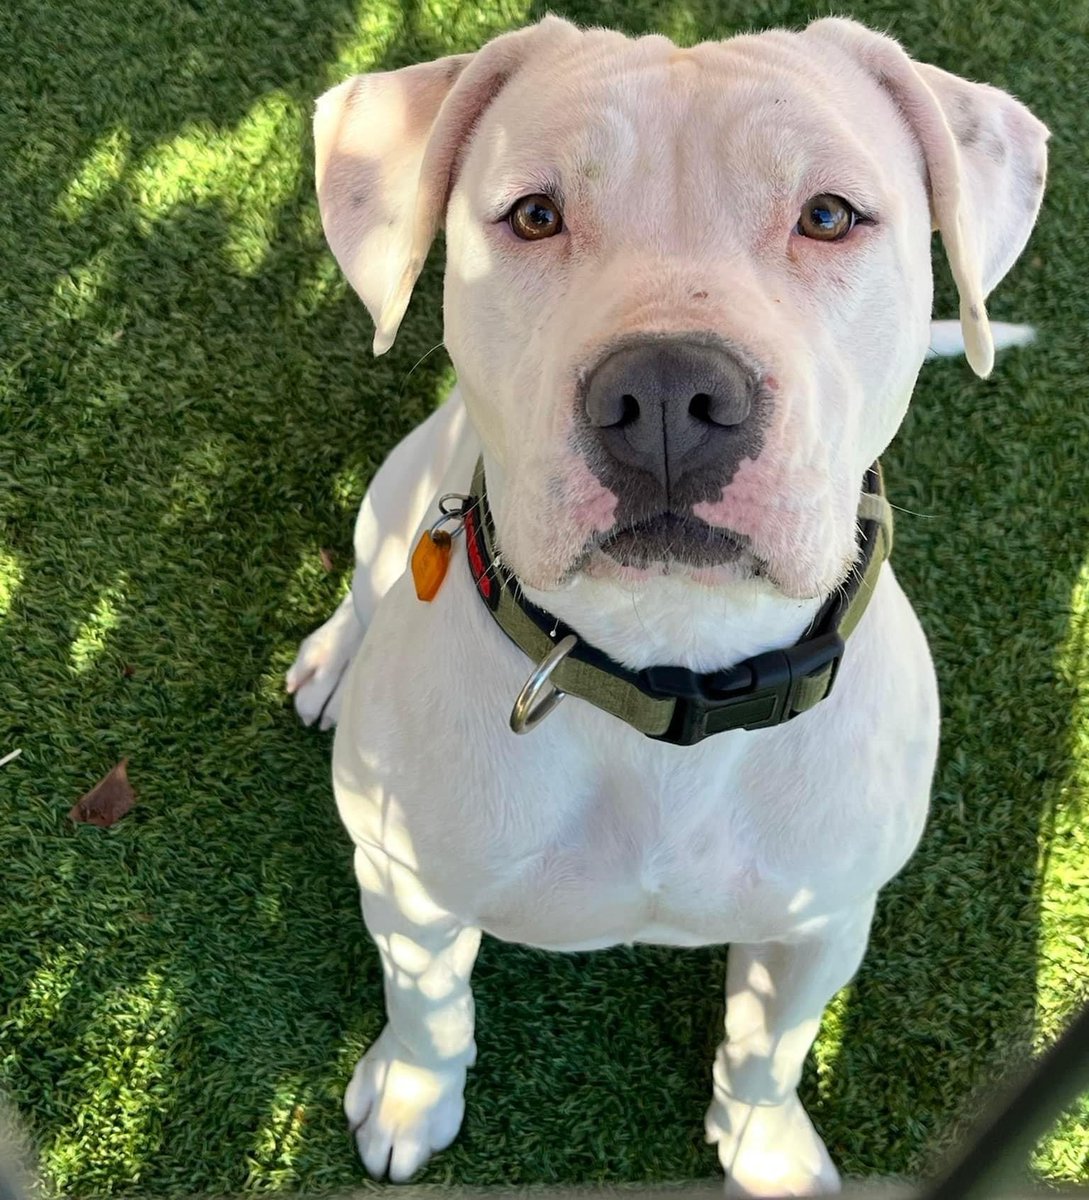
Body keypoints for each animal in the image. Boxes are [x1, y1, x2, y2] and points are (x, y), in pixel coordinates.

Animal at [286, 16, 1045, 1190]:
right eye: (534, 214)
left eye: (829, 215)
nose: (665, 395)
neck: (665, 666)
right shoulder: (410, 892)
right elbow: (429, 1010)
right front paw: (412, 1097)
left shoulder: (822, 924)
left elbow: (769, 1049)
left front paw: (766, 1143)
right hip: (398, 485)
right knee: (370, 573)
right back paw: (332, 658)